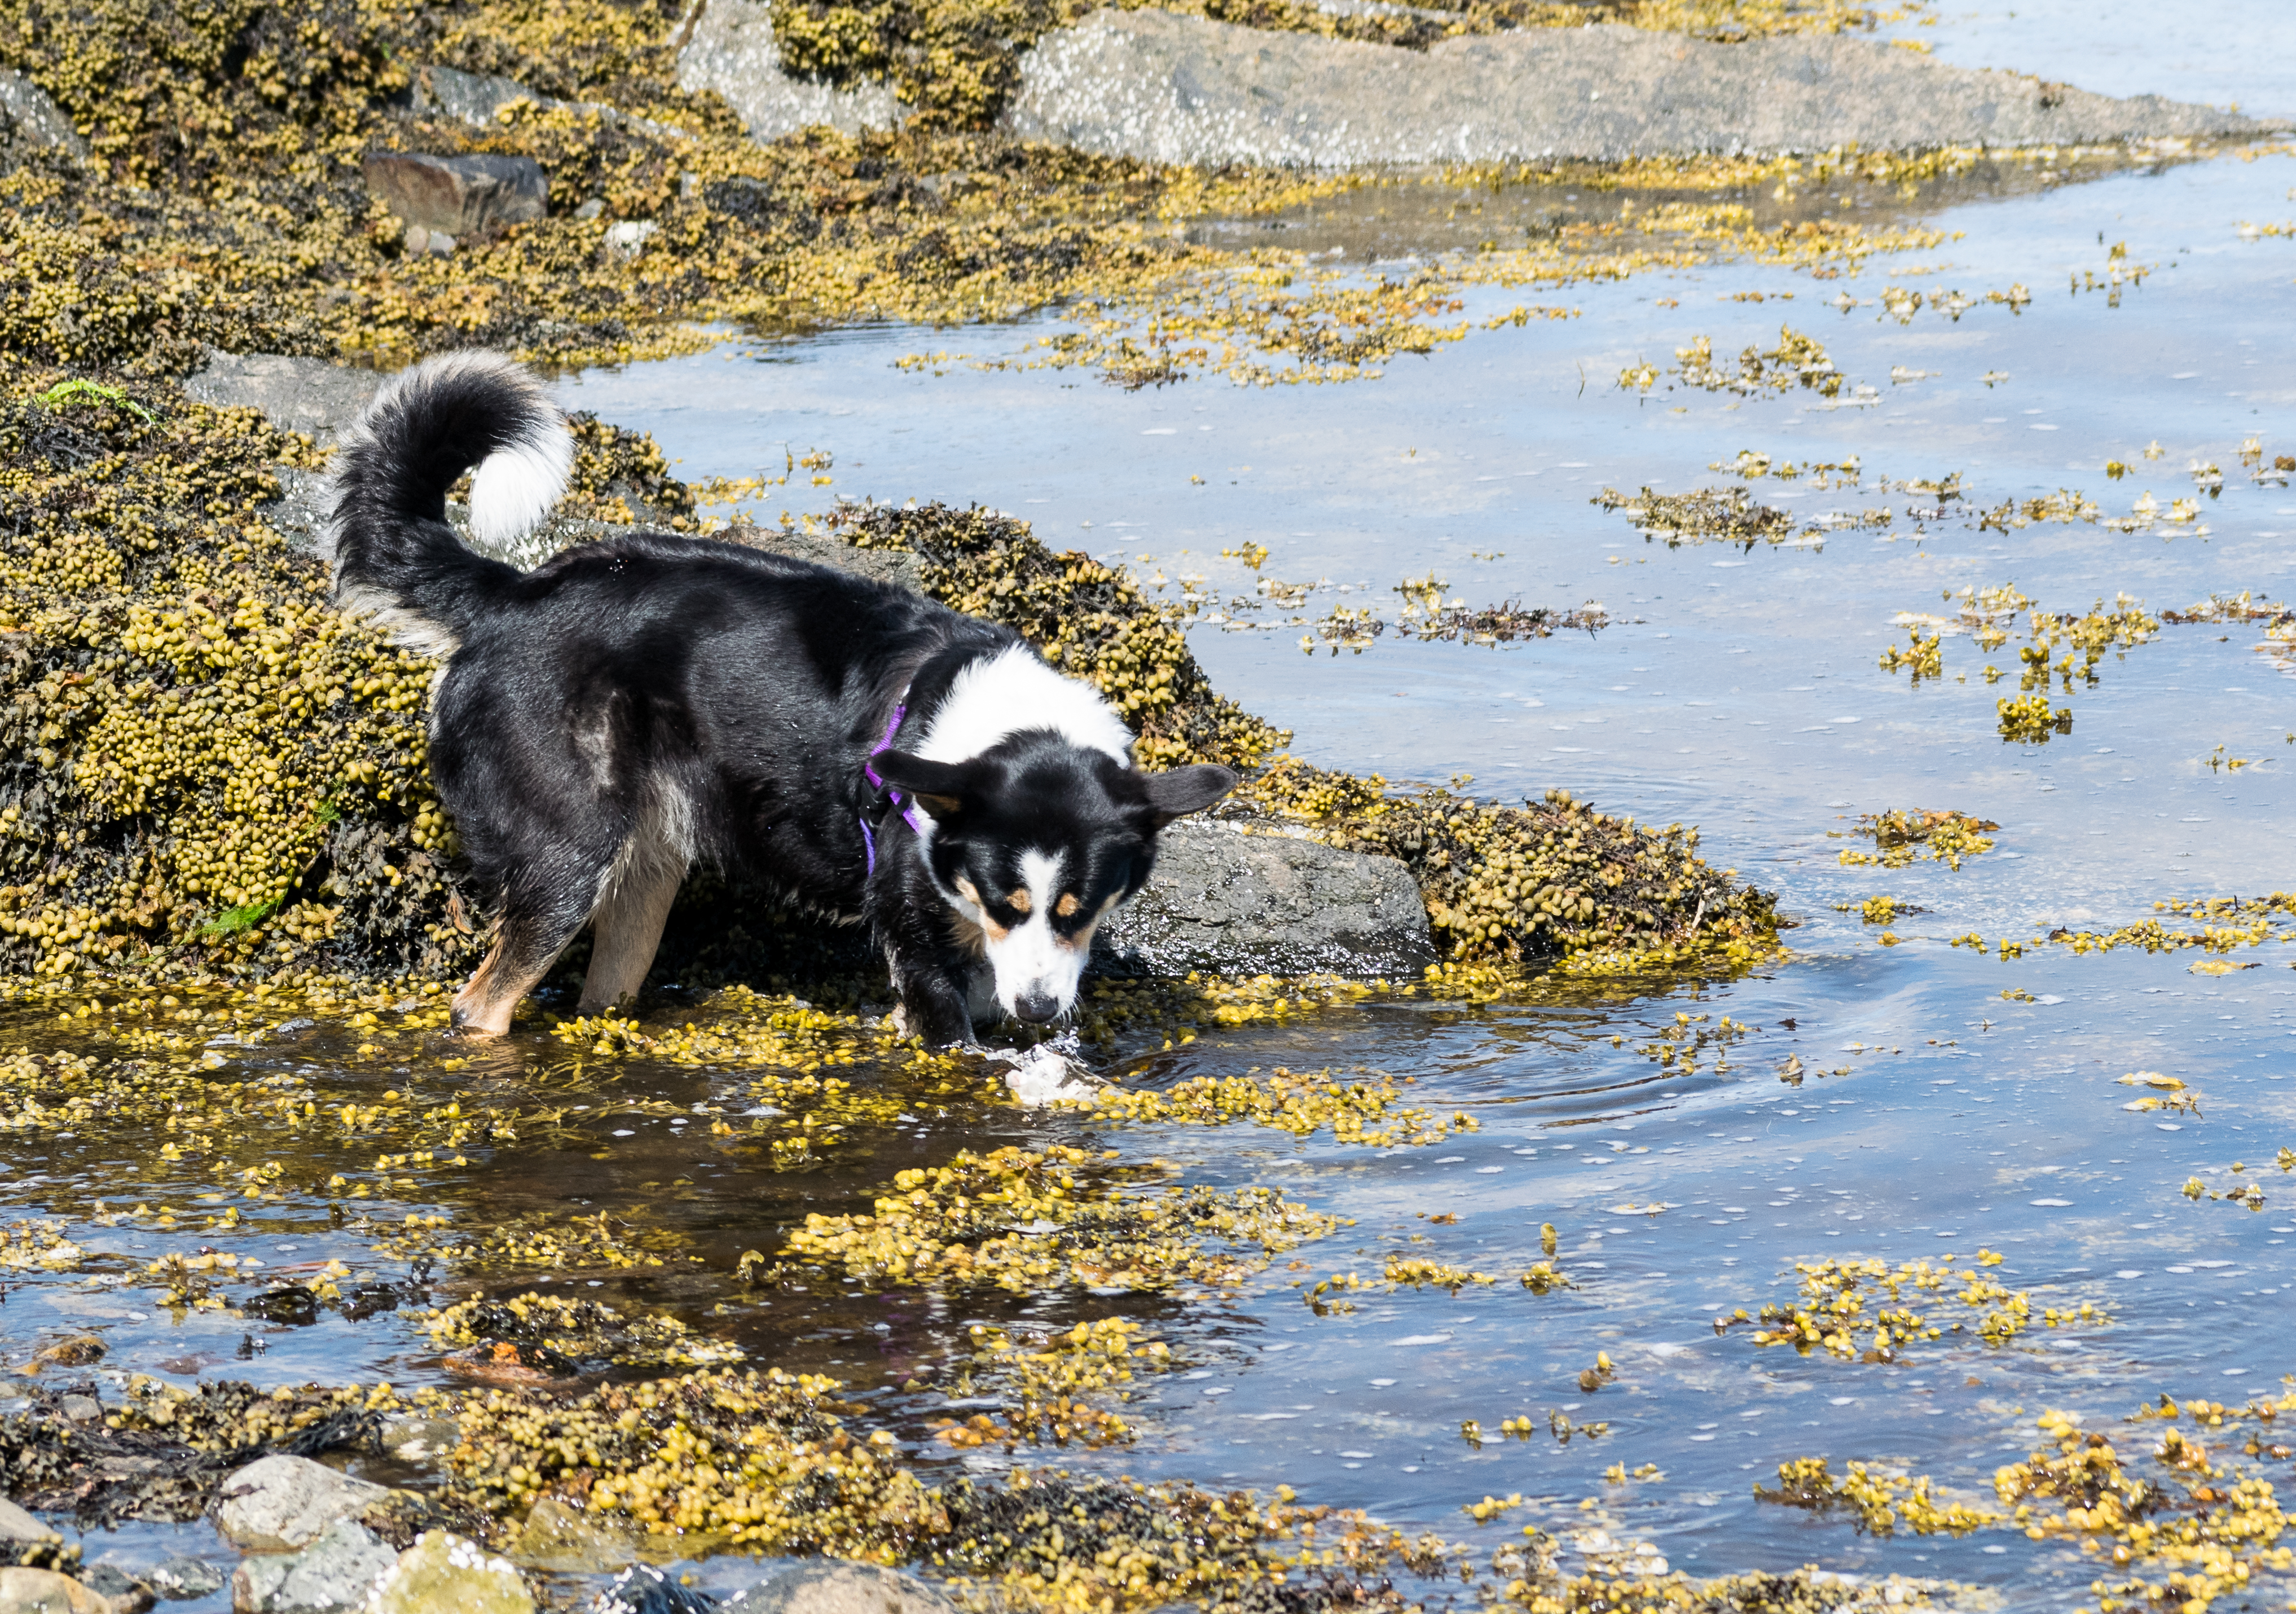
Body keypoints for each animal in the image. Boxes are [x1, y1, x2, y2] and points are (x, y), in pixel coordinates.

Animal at [323, 346, 1239, 1042]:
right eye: (1007, 904)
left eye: (1079, 910)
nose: (1042, 1011)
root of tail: (512, 596)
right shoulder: (916, 943)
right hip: (564, 864)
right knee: (480, 1006)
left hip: (643, 879)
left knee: (600, 993)